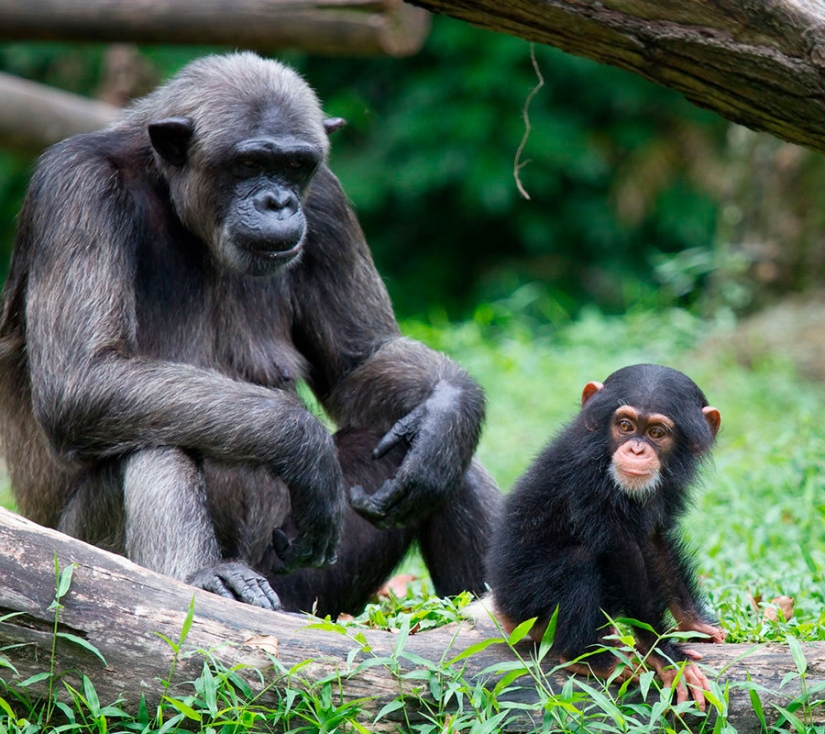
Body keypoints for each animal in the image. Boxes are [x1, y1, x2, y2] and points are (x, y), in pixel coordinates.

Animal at [0, 50, 502, 616]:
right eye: (249, 164)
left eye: (295, 166)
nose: (278, 202)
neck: (175, 199)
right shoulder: (76, 192)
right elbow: (83, 376)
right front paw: (304, 444)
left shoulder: (327, 202)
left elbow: (360, 361)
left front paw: (451, 411)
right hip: (81, 553)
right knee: (149, 443)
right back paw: (206, 576)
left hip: (310, 592)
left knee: (434, 459)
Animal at [486, 368, 724, 712]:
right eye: (625, 426)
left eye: (656, 432)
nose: (636, 449)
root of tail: (503, 614)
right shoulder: (588, 478)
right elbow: (622, 553)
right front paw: (665, 656)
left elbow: (653, 542)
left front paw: (694, 624)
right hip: (525, 606)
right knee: (580, 562)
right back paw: (589, 659)